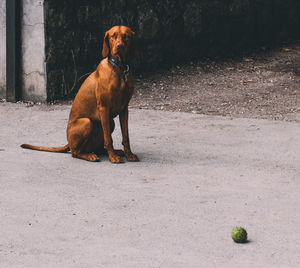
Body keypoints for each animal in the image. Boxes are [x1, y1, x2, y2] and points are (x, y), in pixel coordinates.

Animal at [21, 25, 139, 163]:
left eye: (126, 36)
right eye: (113, 36)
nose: (119, 46)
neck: (119, 69)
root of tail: (68, 143)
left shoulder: (124, 108)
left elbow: (126, 136)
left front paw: (129, 154)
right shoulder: (104, 108)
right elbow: (108, 139)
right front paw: (113, 157)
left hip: (110, 122)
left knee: (98, 147)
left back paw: (114, 151)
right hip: (87, 122)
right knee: (75, 152)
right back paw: (90, 155)